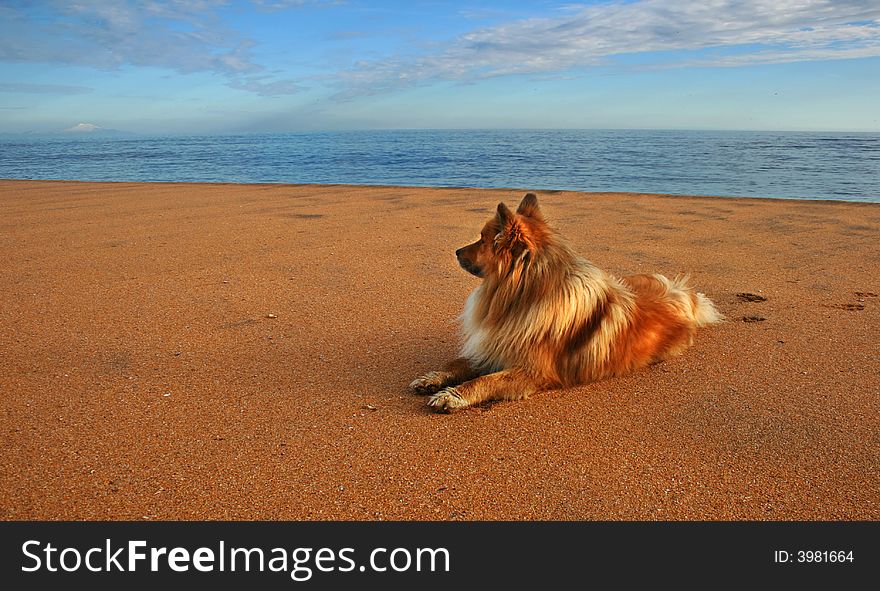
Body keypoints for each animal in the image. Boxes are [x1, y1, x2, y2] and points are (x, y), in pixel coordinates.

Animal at [410, 193, 720, 412]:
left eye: (483, 240)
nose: (456, 251)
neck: (522, 296)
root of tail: (682, 293)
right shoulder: (496, 345)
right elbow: (458, 363)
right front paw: (431, 378)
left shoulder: (531, 370)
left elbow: (486, 380)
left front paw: (452, 396)